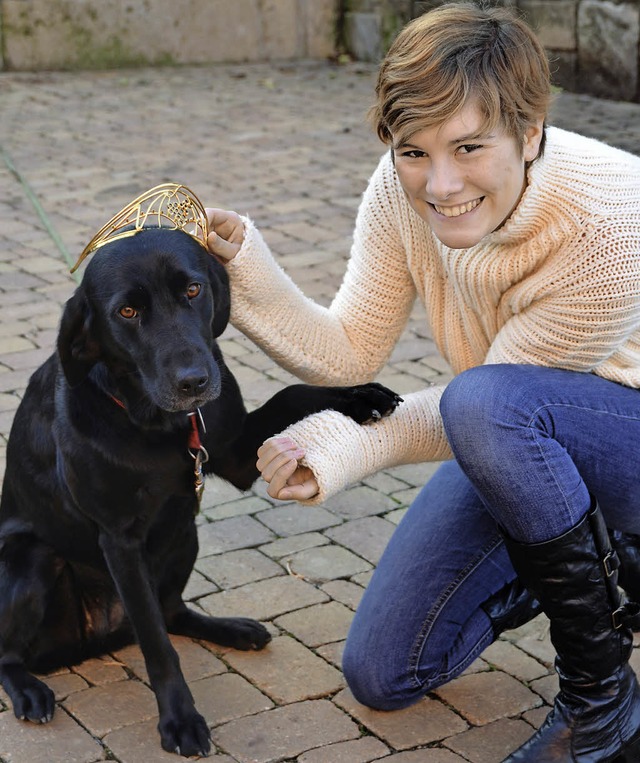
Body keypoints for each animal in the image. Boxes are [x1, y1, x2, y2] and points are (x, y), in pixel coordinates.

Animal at [0, 227, 400, 760]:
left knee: (172, 612)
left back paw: (232, 629)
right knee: (12, 652)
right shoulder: (119, 540)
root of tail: (93, 641)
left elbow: (291, 393)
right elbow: (157, 646)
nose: (194, 382)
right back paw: (29, 691)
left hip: (184, 532)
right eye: (127, 312)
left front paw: (361, 396)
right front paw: (180, 720)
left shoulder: (233, 451)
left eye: (192, 290)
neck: (161, 425)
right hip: (31, 558)